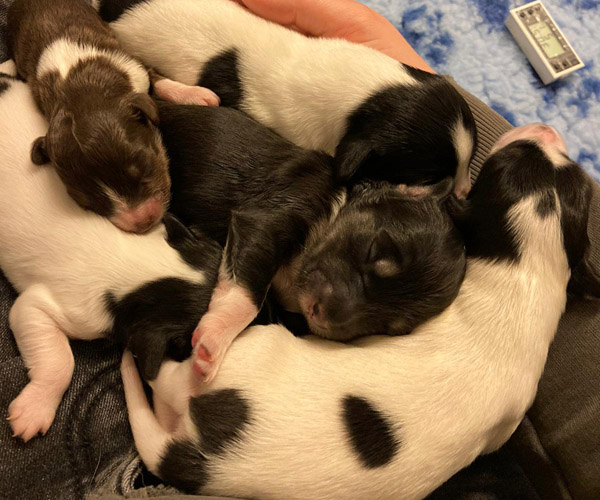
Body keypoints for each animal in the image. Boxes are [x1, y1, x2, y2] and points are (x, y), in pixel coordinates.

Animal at [7, 0, 183, 233]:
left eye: (144, 166)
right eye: (89, 202)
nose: (143, 221)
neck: (76, 87)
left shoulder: (133, 64)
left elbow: (154, 75)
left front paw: (197, 94)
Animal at [157, 101, 466, 383]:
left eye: (387, 327)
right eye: (374, 251)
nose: (319, 313)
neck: (336, 208)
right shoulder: (266, 218)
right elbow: (248, 294)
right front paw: (214, 339)